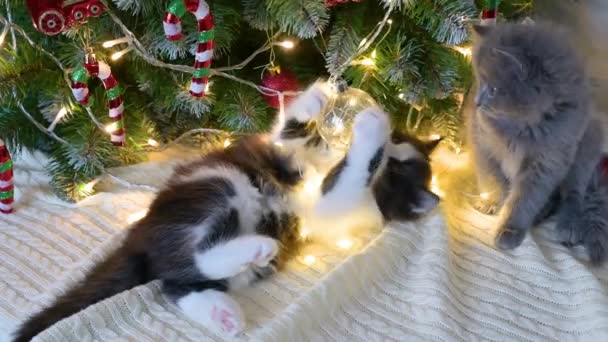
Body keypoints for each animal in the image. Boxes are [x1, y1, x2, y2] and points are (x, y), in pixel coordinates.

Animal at [14, 82, 440, 340]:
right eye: (397, 147)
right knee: (183, 267)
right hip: (223, 182)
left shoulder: (336, 204)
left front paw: (370, 128)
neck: (324, 163)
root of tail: (142, 234)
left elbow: (355, 170)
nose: (390, 139)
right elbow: (287, 132)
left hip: (230, 208)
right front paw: (318, 99)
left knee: (186, 272)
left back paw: (234, 290)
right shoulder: (283, 152)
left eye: (396, 169)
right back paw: (229, 296)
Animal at [470, 22, 608, 264]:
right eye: (479, 81)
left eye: (494, 89)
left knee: (573, 194)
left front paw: (508, 229)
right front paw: (492, 202)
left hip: (588, 143)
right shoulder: (483, 143)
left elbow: (525, 199)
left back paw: (568, 225)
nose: (477, 102)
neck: (521, 127)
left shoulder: (547, 161)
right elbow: (493, 179)